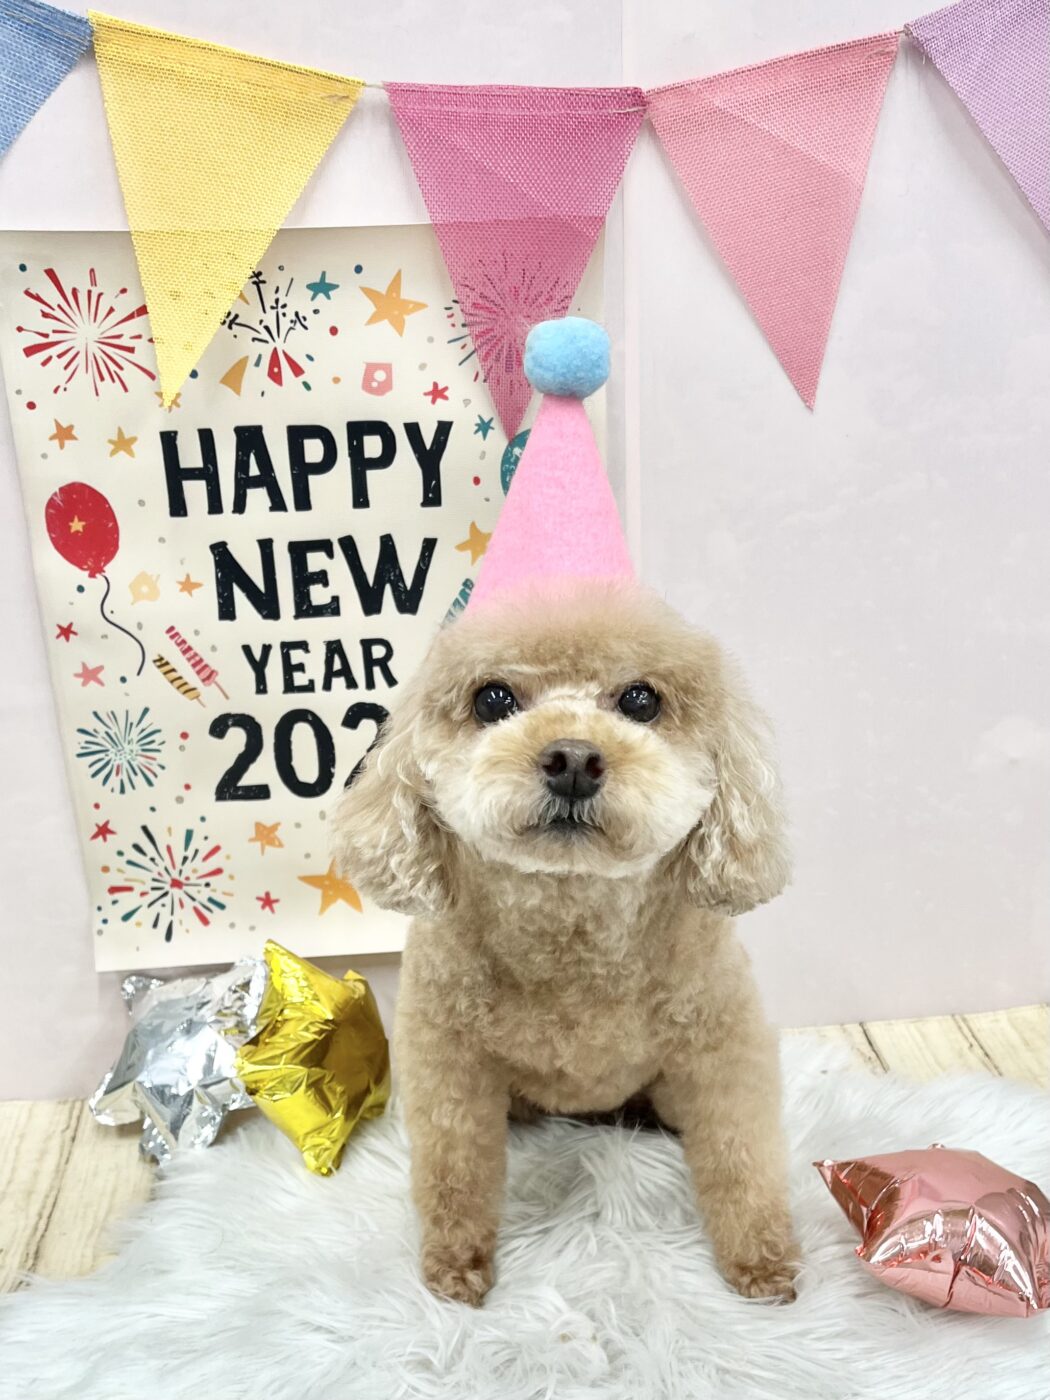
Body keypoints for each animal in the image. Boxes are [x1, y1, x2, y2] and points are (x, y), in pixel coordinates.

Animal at [333, 580, 799, 1306]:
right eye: (492, 699)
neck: (571, 924)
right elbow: (454, 1165)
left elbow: (742, 1151)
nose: (573, 758)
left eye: (641, 700)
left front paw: (763, 1263)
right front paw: (455, 1269)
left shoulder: (722, 1045)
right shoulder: (446, 1058)